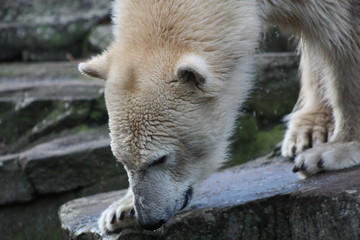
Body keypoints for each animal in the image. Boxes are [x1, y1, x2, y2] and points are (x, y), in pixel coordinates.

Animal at [79, 0, 360, 234]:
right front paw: (120, 211)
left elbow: (346, 40)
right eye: (121, 160)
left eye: (160, 158)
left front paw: (335, 150)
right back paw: (308, 129)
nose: (149, 220)